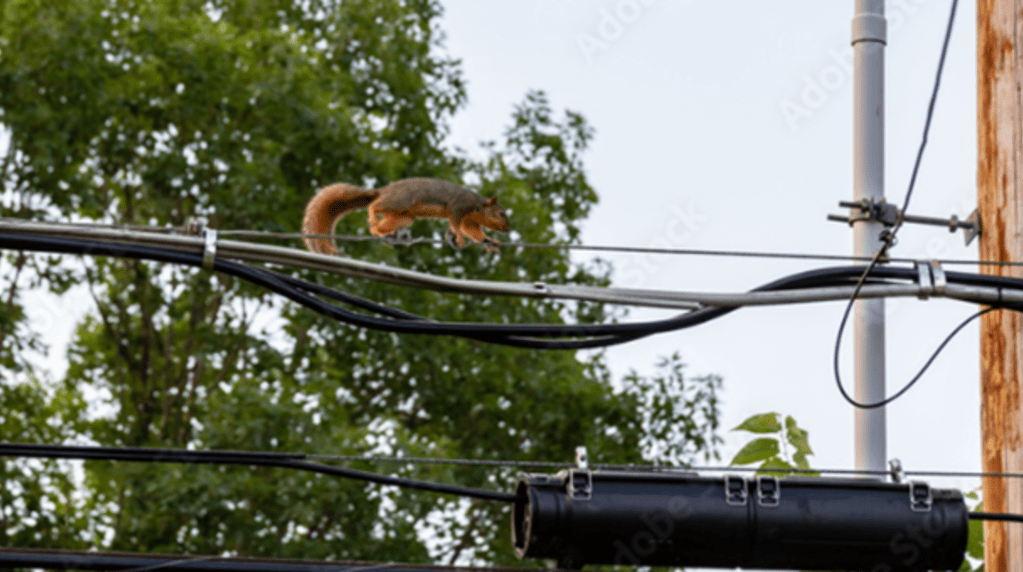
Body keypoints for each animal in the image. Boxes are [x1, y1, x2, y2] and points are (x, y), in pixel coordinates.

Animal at [302, 177, 510, 255]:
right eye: (501, 213)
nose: (508, 228)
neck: (478, 206)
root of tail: (383, 190)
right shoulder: (458, 207)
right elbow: (456, 224)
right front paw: (458, 237)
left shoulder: (470, 221)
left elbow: (473, 232)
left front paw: (489, 241)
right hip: (400, 201)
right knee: (374, 205)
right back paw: (373, 216)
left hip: (402, 216)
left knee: (383, 224)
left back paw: (381, 232)